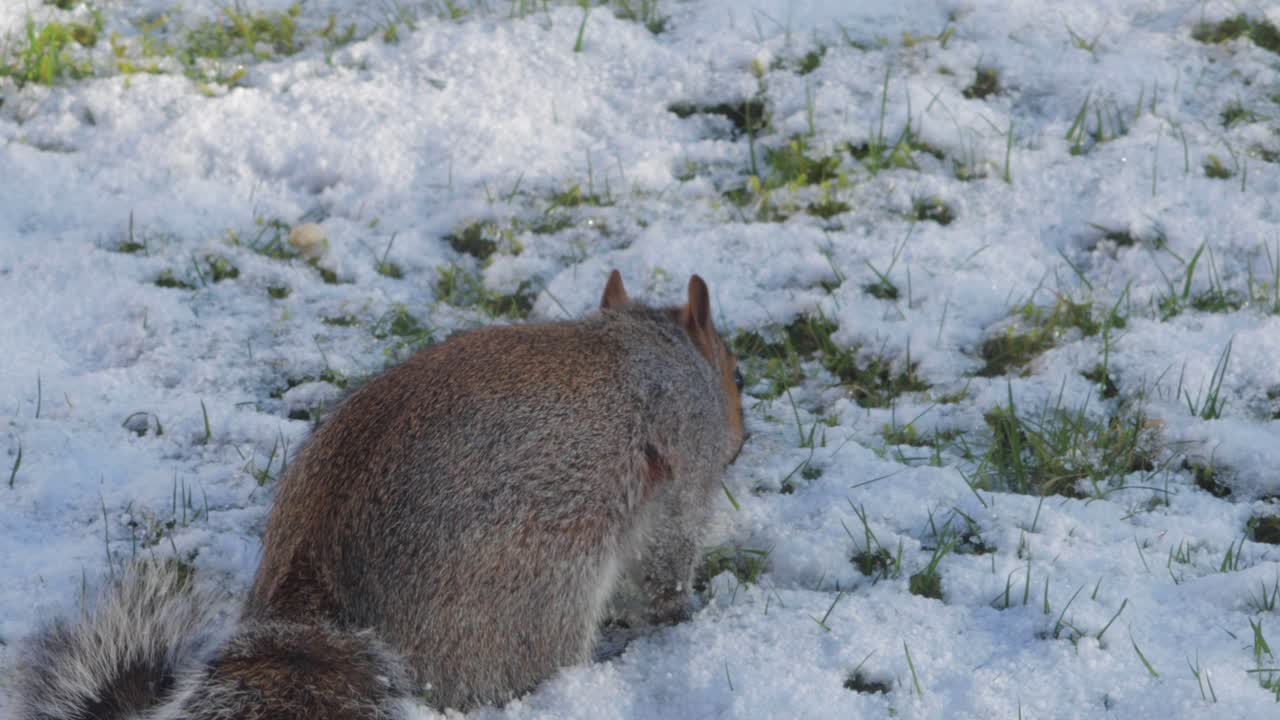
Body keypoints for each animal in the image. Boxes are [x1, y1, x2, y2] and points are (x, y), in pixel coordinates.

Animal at [12, 271, 745, 719]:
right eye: (737, 374)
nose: (745, 431)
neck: (648, 339)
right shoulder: (682, 466)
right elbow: (666, 561)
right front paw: (685, 610)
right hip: (542, 586)